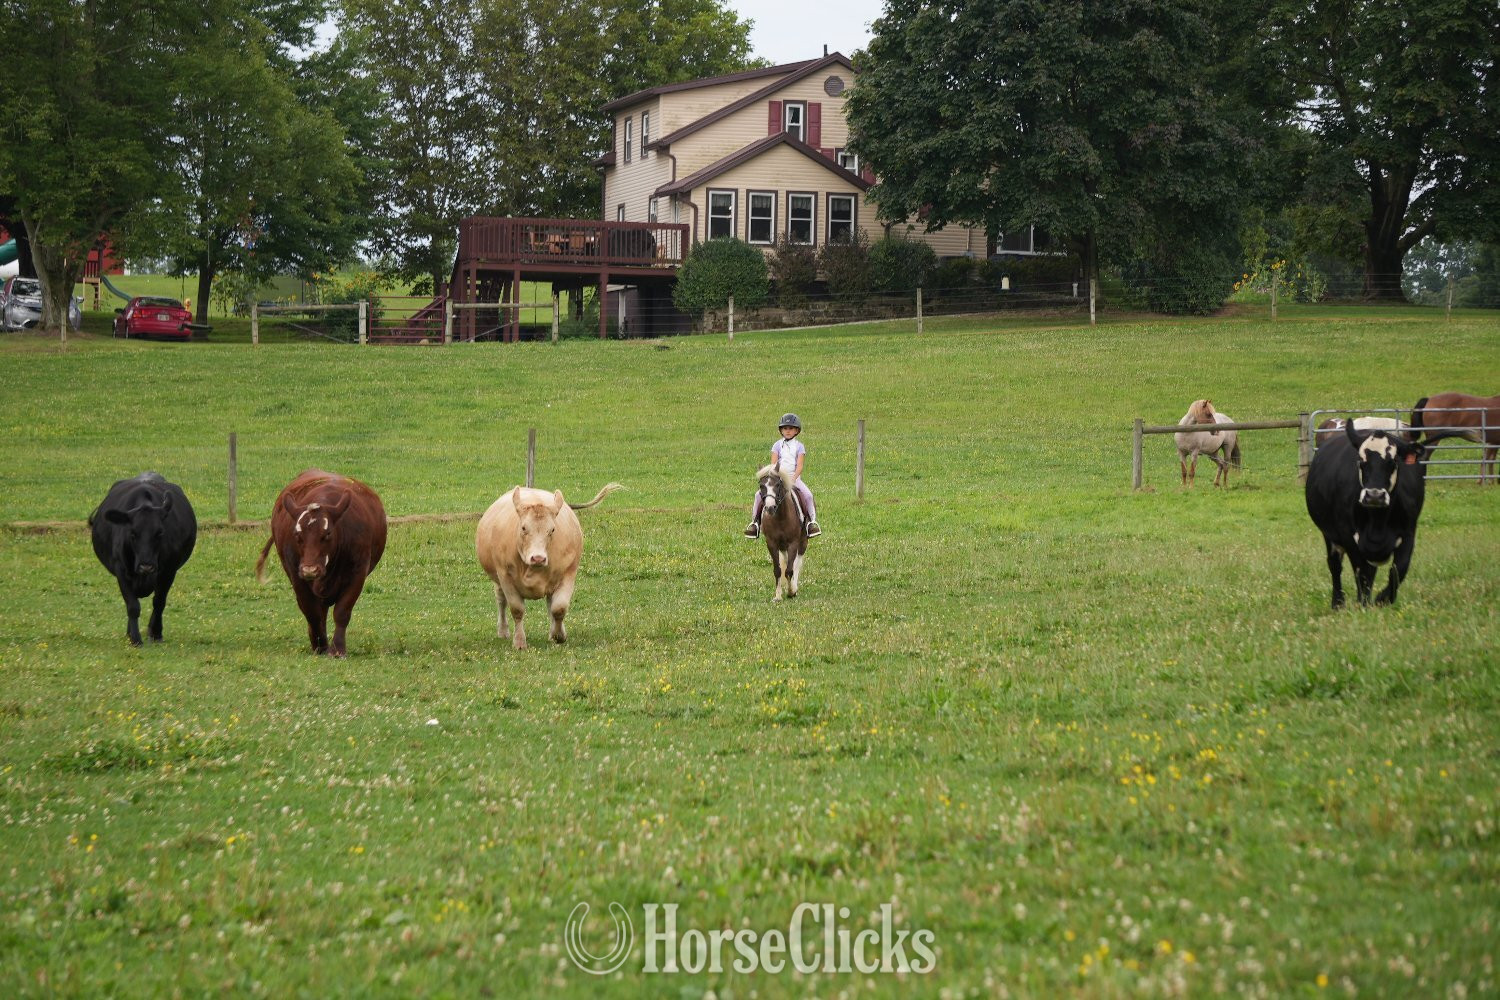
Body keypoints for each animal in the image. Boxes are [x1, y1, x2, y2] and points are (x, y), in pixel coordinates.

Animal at [755, 463, 808, 601]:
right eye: (761, 486)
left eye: (777, 485)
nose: (770, 508)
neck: (780, 518)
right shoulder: (771, 543)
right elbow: (778, 570)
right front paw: (778, 596)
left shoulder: (793, 543)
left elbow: (790, 570)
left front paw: (791, 591)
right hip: (782, 546)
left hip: (803, 542)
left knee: (797, 563)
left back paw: (794, 586)